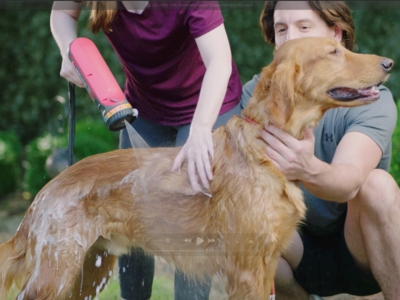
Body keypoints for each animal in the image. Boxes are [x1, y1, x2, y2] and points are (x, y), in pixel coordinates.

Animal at [0, 38, 392, 300]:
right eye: (334, 52)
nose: (389, 62)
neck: (263, 149)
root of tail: (44, 192)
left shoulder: (266, 263)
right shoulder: (247, 269)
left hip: (90, 268)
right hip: (56, 272)